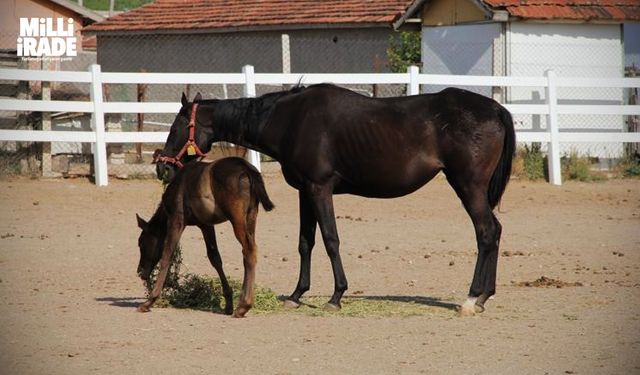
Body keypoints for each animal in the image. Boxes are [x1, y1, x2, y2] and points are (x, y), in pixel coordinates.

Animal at [136, 156, 274, 318]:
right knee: (250, 250)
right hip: (251, 216)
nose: (140, 272)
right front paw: (228, 302)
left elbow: (166, 256)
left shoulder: (176, 219)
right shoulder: (205, 225)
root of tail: (246, 168)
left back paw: (243, 305)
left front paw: (150, 301)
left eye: (141, 243)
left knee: (248, 251)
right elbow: (215, 258)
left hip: (237, 218)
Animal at [155, 86, 516, 318]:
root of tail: (495, 109)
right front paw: (297, 295)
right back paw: (484, 296)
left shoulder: (320, 189)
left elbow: (330, 239)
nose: (162, 167)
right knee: (496, 231)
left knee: (486, 232)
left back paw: (471, 298)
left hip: (468, 186)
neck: (290, 120)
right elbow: (306, 242)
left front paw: (336, 295)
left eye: (176, 126)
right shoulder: (305, 192)